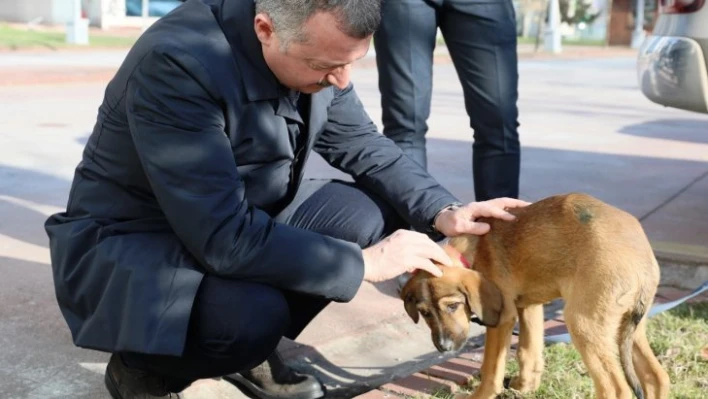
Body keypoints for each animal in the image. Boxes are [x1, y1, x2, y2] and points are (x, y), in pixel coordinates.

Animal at [404, 194, 668, 399]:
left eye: (453, 306)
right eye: (425, 313)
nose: (444, 347)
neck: (472, 250)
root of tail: (642, 261)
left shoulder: (503, 317)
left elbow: (491, 369)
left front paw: (482, 395)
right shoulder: (529, 306)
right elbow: (528, 351)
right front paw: (524, 386)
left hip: (584, 324)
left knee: (616, 389)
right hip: (626, 324)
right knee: (656, 376)